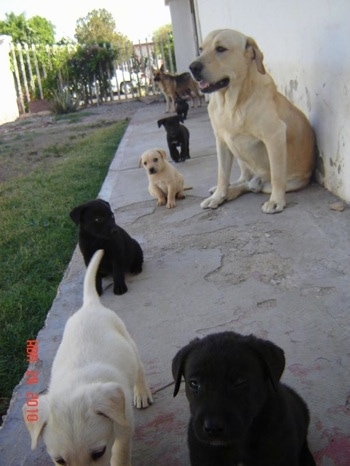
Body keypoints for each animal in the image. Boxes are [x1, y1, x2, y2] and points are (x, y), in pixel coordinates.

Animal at [22, 249, 152, 466]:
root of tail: (90, 305)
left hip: (127, 340)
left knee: (139, 368)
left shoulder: (124, 426)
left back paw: (142, 393)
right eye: (60, 460)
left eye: (98, 453)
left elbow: (120, 455)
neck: (77, 382)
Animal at [190, 27, 316, 213]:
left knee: (254, 185)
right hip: (238, 153)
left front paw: (276, 201)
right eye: (200, 49)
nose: (192, 67)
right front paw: (218, 195)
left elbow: (277, 175)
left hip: (284, 181)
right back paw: (228, 190)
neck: (231, 104)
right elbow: (222, 175)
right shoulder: (221, 141)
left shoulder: (274, 136)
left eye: (220, 49)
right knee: (244, 180)